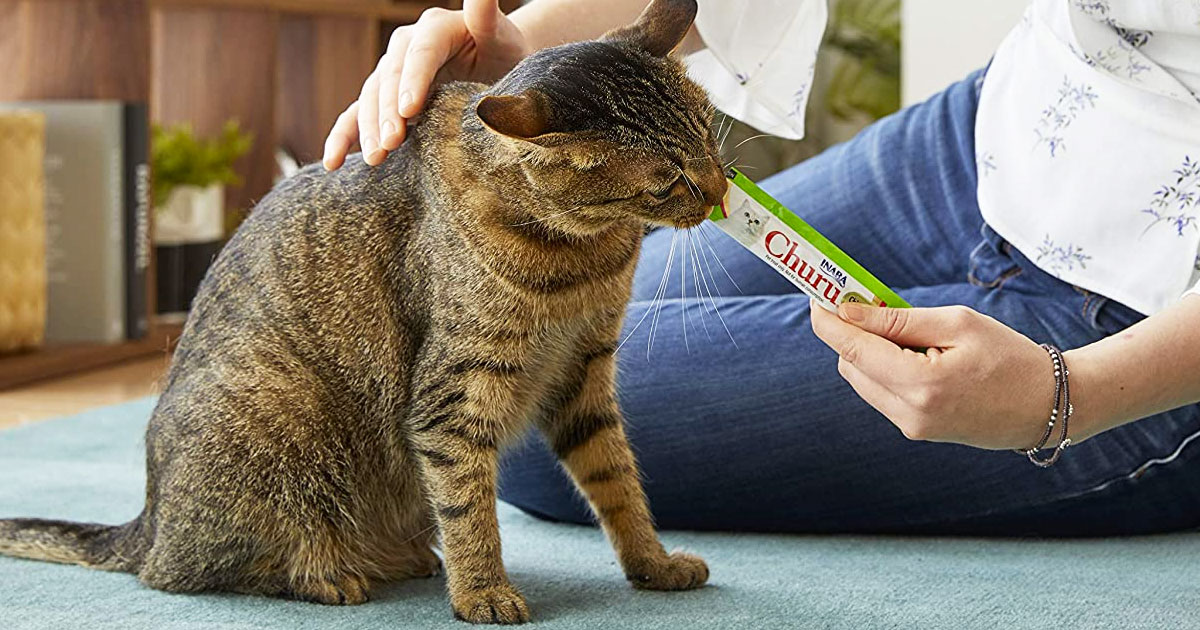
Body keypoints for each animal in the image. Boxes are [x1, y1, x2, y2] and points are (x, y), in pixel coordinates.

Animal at [0, 0, 720, 624]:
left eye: (710, 133)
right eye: (668, 181)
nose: (718, 192)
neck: (585, 257)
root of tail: (146, 521)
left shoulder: (584, 373)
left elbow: (618, 482)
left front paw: (653, 563)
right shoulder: (453, 397)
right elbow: (470, 510)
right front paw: (483, 592)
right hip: (280, 418)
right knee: (185, 572)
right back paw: (325, 574)